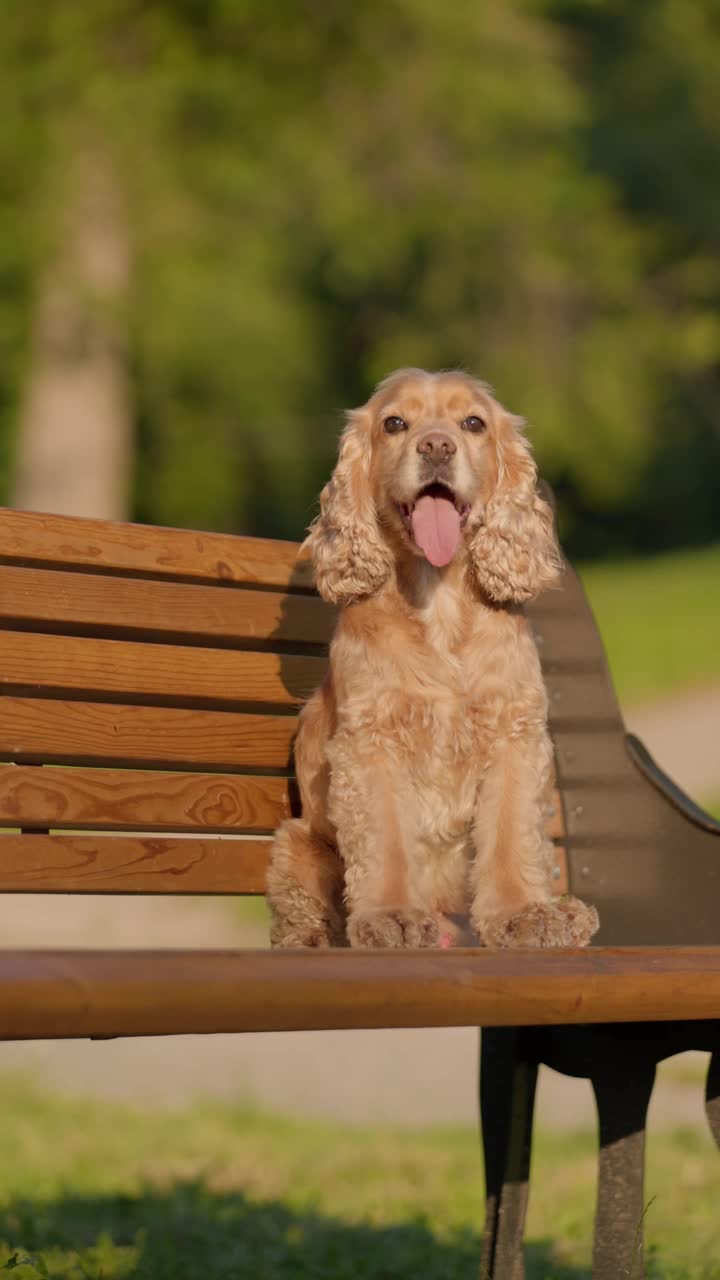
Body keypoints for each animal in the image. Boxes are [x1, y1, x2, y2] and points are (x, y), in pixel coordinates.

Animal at [266, 371, 597, 952]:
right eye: (395, 423)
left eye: (474, 423)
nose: (437, 446)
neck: (438, 600)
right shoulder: (369, 742)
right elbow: (385, 840)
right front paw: (392, 917)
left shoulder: (514, 733)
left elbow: (511, 836)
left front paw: (522, 914)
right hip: (296, 844)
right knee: (302, 907)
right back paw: (312, 939)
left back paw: (567, 913)